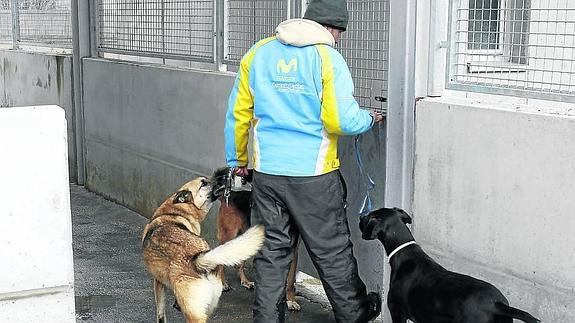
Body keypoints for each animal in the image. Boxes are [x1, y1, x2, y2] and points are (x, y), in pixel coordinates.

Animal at [142, 177, 266, 323]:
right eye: (203, 183)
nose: (224, 179)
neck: (174, 210)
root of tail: (199, 260)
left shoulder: (158, 282)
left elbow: (160, 312)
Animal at [210, 167, 302, 312]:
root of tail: (229, 195)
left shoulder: (293, 253)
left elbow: (291, 280)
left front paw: (290, 300)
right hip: (228, 237)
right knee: (221, 262)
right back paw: (223, 284)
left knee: (238, 264)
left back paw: (245, 282)